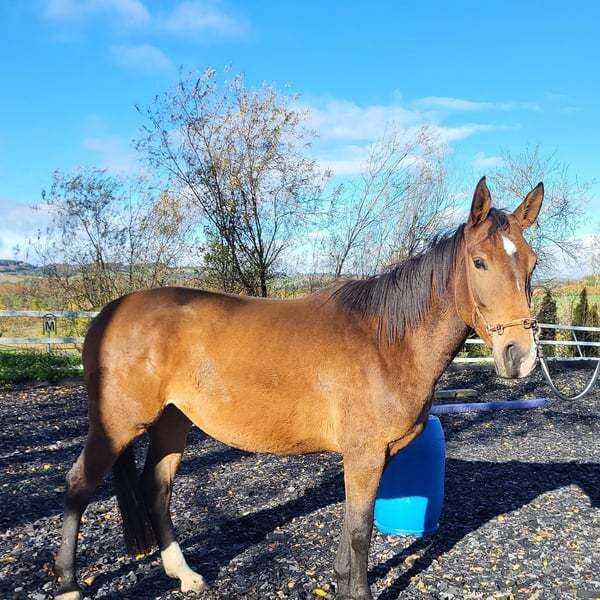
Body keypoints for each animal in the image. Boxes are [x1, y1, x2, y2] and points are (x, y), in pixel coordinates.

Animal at [55, 176, 544, 596]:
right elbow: (361, 534)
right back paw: (68, 585)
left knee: (156, 488)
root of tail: (110, 312)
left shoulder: (372, 457)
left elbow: (353, 531)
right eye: (479, 262)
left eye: (532, 262)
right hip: (118, 422)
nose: (518, 356)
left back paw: (185, 575)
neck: (387, 340)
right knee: (79, 484)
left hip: (173, 422)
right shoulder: (364, 455)